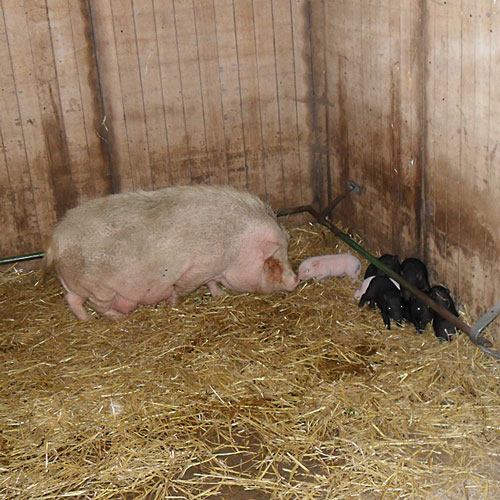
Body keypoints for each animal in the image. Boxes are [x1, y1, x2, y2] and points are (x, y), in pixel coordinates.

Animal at [43, 185, 299, 320]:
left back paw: (86, 320)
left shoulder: (211, 271)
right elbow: (183, 289)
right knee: (96, 305)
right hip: (99, 288)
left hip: (82, 285)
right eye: (273, 262)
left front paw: (219, 296)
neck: (237, 246)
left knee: (72, 299)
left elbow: (212, 284)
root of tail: (55, 242)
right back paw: (118, 317)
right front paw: (171, 304)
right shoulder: (197, 269)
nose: (296, 280)